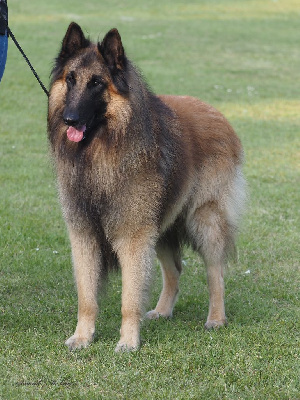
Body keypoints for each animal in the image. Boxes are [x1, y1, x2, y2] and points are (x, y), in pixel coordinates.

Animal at [47, 21, 245, 352]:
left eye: (97, 83)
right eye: (71, 80)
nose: (69, 118)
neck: (102, 150)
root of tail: (217, 113)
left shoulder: (133, 238)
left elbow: (130, 298)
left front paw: (128, 342)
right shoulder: (84, 236)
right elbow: (87, 297)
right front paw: (83, 336)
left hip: (204, 219)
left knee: (215, 271)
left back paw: (216, 318)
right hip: (161, 226)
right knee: (175, 270)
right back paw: (163, 311)